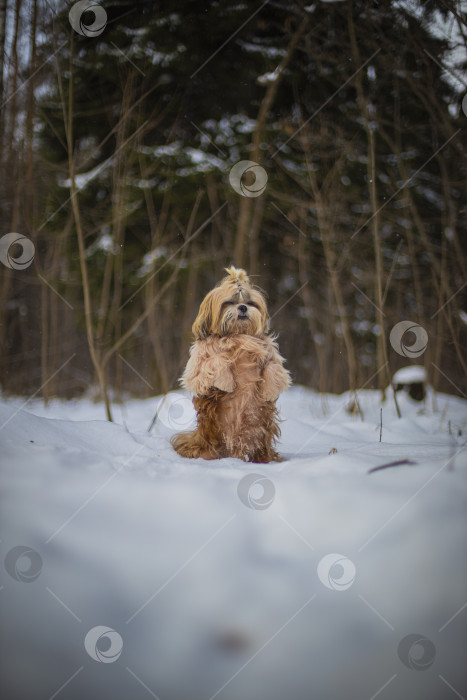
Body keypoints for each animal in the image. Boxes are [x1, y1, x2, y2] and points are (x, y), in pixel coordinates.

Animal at [170, 266, 290, 462]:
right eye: (229, 302)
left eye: (250, 302)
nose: (242, 307)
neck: (238, 335)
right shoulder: (199, 363)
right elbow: (213, 362)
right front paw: (226, 382)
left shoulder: (269, 352)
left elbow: (273, 367)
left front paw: (269, 390)